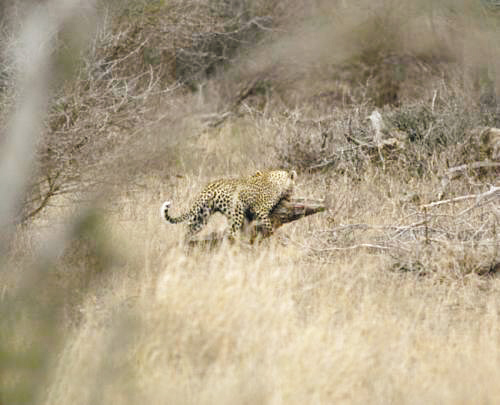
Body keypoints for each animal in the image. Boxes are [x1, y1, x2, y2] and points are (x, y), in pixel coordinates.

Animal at [160, 170, 294, 240]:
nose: (292, 195)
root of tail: (209, 187)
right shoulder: (260, 209)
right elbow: (269, 226)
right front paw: (275, 237)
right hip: (236, 212)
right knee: (231, 234)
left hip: (201, 216)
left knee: (188, 230)